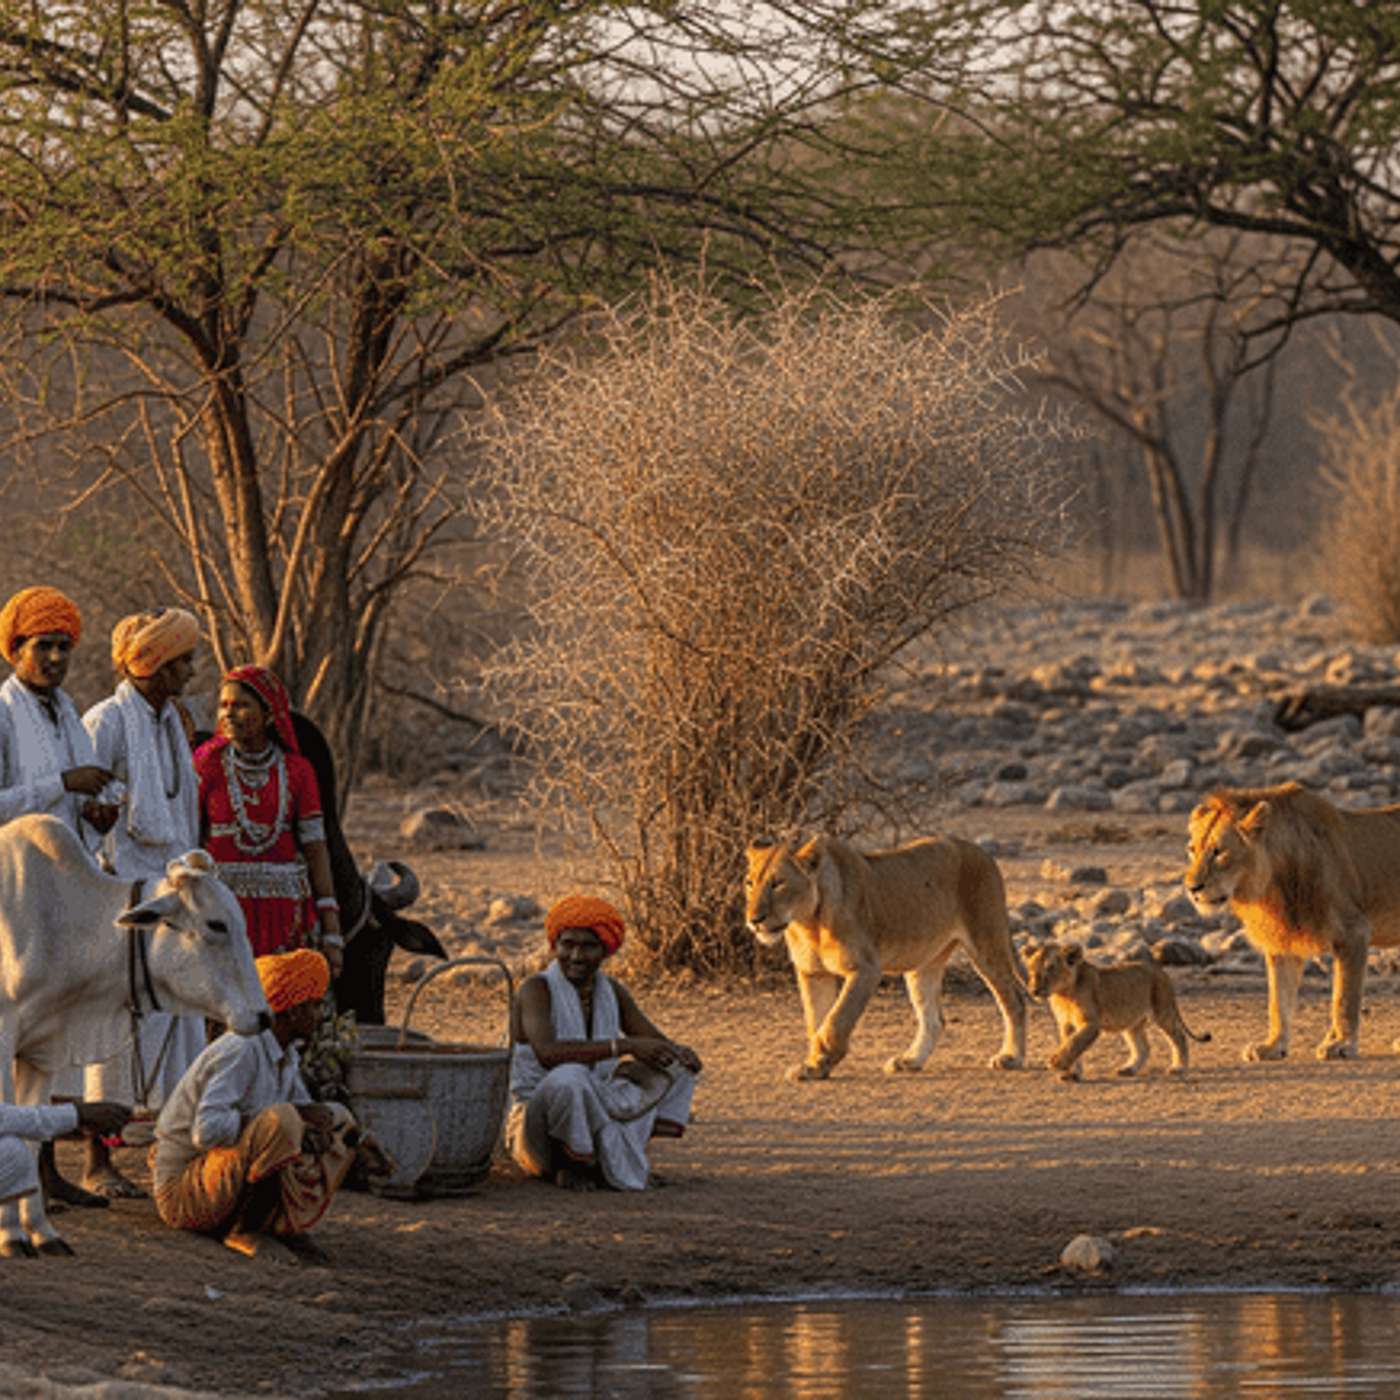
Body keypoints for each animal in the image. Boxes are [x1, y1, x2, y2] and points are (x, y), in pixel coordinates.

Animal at [744, 833, 1026, 1082]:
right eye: (749, 883)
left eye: (778, 883)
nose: (754, 920)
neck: (808, 924)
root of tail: (982, 852)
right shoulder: (812, 973)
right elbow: (817, 1023)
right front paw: (814, 1067)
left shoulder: (866, 969)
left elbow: (836, 1020)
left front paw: (820, 1062)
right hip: (923, 962)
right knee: (934, 1019)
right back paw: (911, 1060)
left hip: (986, 943)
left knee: (1014, 1000)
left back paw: (1011, 1056)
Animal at [1022, 941, 1210, 1080]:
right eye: (1031, 969)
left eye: (1050, 968)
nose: (1034, 990)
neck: (1063, 994)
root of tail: (1161, 970)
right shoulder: (1066, 1024)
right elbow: (1070, 1044)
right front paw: (1071, 1073)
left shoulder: (1091, 1022)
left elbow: (1075, 1043)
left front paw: (1057, 1063)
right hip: (1131, 1022)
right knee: (1143, 1047)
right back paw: (1129, 1069)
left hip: (1162, 1011)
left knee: (1179, 1036)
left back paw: (1178, 1068)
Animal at [1185, 781, 1400, 1062]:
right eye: (1192, 850)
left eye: (1218, 852)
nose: (1191, 888)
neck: (1271, 886)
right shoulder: (1281, 942)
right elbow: (1279, 1000)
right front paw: (1272, 1046)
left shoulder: (1354, 931)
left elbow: (1344, 997)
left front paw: (1340, 1043)